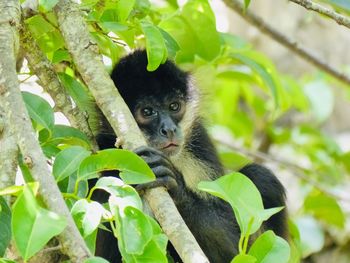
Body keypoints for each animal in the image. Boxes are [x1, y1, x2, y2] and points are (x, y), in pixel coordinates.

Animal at [93, 50, 288, 263]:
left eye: (174, 106)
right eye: (147, 111)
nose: (169, 129)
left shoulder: (200, 145)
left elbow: (233, 250)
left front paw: (175, 186)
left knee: (261, 176)